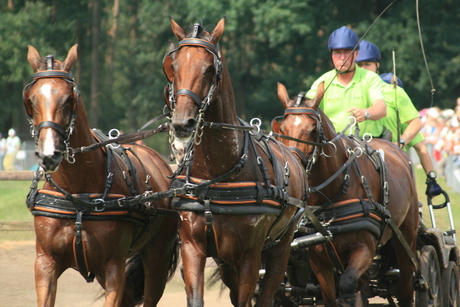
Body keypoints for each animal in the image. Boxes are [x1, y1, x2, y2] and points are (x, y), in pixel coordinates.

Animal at [23, 44, 180, 306]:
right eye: (31, 100)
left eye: (69, 99)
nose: (49, 154)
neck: (78, 193)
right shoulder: (45, 263)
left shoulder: (113, 267)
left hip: (157, 257)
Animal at [164, 18, 308, 306]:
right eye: (174, 66)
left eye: (210, 68)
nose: (182, 122)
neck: (215, 176)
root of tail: (294, 155)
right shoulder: (193, 248)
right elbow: (196, 298)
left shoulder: (249, 256)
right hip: (225, 260)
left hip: (280, 248)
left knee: (268, 291)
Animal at [274, 83, 420, 306]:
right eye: (282, 130)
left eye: (313, 130)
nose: (294, 166)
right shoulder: (318, 258)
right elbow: (330, 296)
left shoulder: (365, 247)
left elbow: (347, 283)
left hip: (406, 236)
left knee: (404, 286)